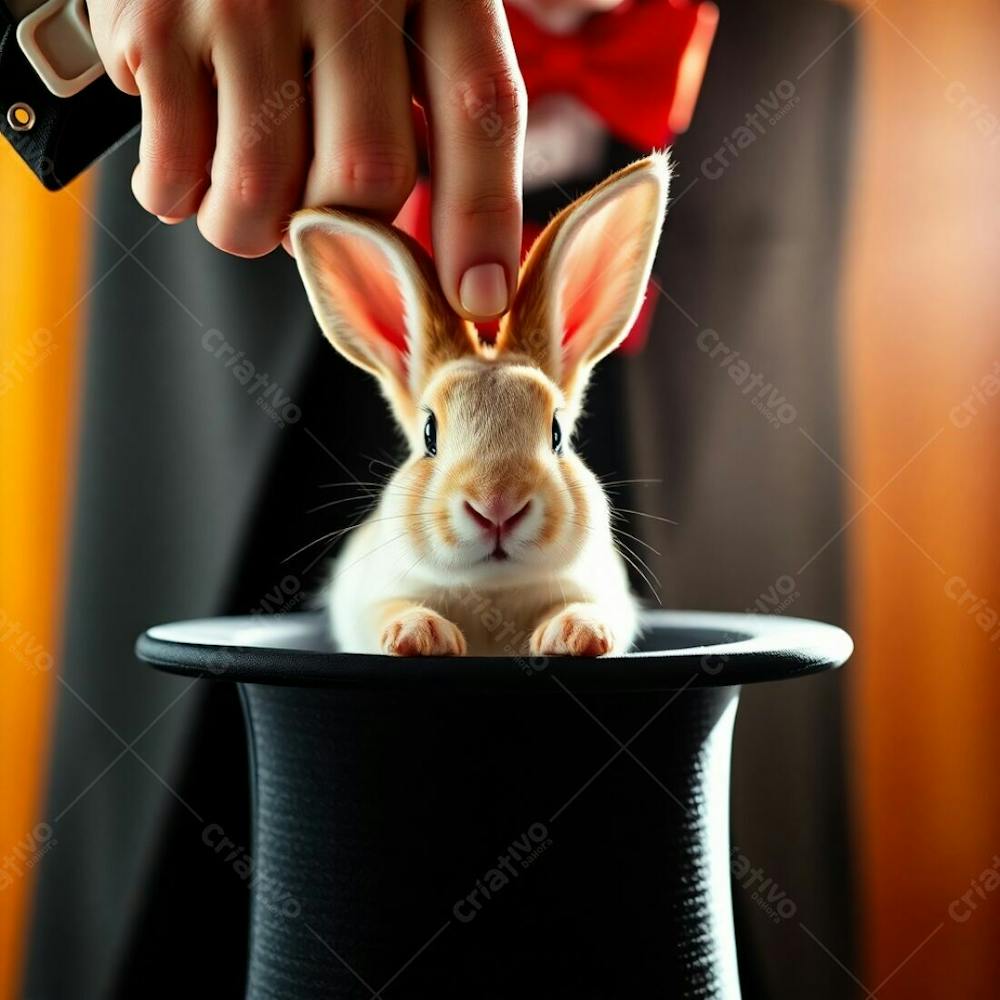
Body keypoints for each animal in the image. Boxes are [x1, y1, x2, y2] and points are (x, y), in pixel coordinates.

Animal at [290, 152, 672, 656]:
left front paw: (578, 634)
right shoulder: (367, 602)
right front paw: (420, 635)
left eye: (557, 434)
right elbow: (390, 612)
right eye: (429, 434)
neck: (493, 589)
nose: (497, 506)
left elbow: (584, 608)